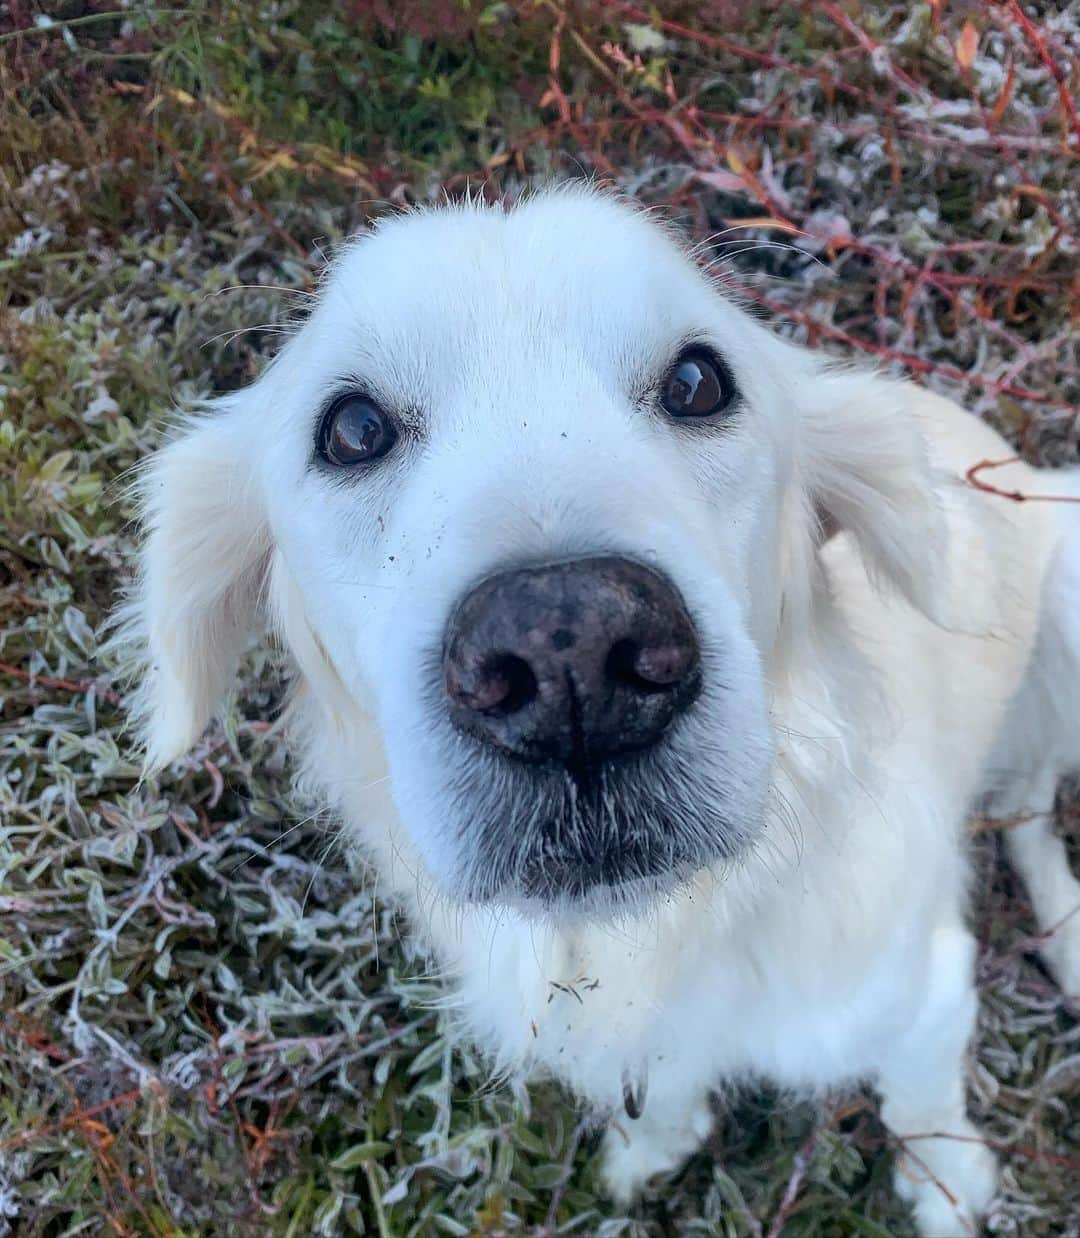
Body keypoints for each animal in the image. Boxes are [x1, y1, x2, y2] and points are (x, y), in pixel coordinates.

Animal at [113, 188, 1075, 1233]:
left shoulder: (926, 990)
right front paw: (651, 1152)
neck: (663, 932)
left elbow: (924, 1106)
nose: (569, 659)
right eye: (354, 428)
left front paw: (949, 1189)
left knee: (1031, 812)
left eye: (698, 381)